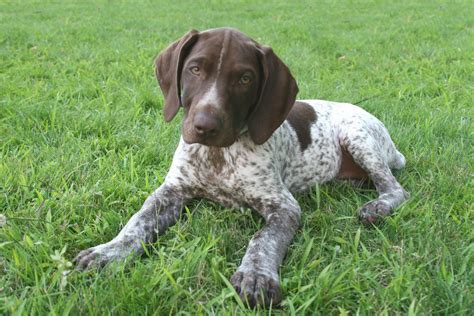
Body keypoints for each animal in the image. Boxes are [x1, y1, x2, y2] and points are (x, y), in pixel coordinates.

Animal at [76, 28, 410, 308]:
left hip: (358, 137)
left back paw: (377, 207)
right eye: (195, 69)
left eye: (245, 79)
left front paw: (256, 276)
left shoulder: (283, 206)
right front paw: (108, 252)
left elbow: (262, 240)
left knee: (395, 189)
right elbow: (137, 222)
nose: (205, 126)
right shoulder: (171, 192)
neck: (218, 156)